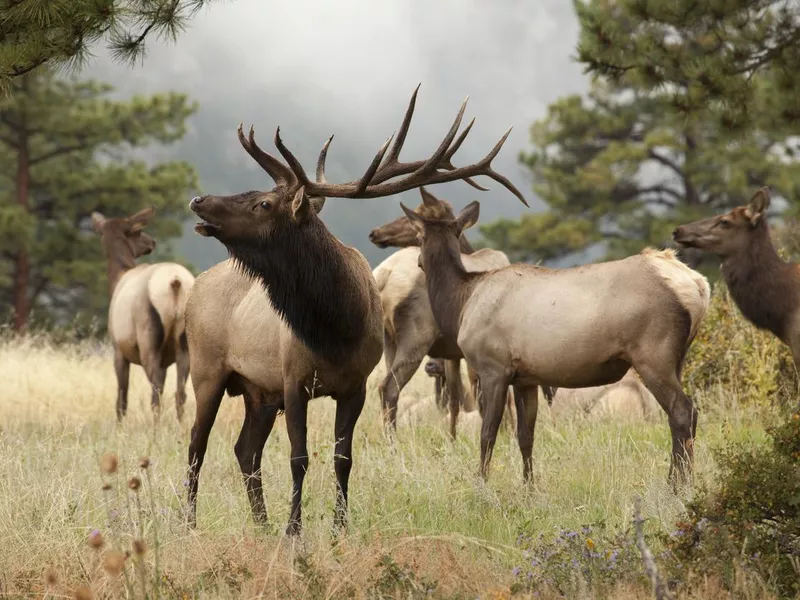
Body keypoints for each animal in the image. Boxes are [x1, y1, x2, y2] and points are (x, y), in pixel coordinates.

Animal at [90, 206, 195, 422]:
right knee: (180, 393)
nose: (152, 242)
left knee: (156, 394)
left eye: (137, 230)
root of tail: (176, 282)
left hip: (148, 339)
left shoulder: (118, 350)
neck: (117, 278)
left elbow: (121, 400)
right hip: (185, 344)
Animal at [184, 83, 528, 536]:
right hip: (206, 370)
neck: (335, 328)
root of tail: (195, 288)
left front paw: (337, 528)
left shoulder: (354, 385)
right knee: (196, 445)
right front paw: (294, 530)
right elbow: (299, 458)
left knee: (244, 450)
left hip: (258, 391)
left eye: (263, 203)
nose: (198, 199)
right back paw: (189, 524)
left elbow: (342, 458)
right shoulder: (293, 380)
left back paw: (260, 524)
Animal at [404, 197, 708, 488]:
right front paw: (529, 489)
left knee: (683, 411)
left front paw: (481, 486)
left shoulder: (494, 368)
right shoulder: (525, 379)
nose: (418, 262)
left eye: (418, 236)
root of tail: (698, 285)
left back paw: (677, 486)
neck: (462, 304)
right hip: (677, 357)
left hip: (653, 354)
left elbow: (487, 434)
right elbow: (525, 436)